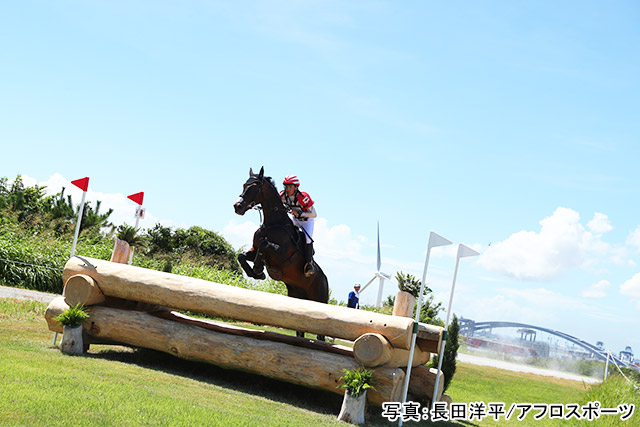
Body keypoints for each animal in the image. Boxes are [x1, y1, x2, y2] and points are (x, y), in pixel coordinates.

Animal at [232, 167, 330, 342]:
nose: (238, 207)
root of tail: (325, 279)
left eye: (255, 187)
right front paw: (257, 272)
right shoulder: (254, 249)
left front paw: (258, 269)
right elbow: (243, 256)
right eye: (244, 185)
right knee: (300, 329)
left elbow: (264, 245)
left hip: (319, 299)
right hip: (297, 298)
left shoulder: (282, 254)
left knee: (321, 334)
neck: (272, 225)